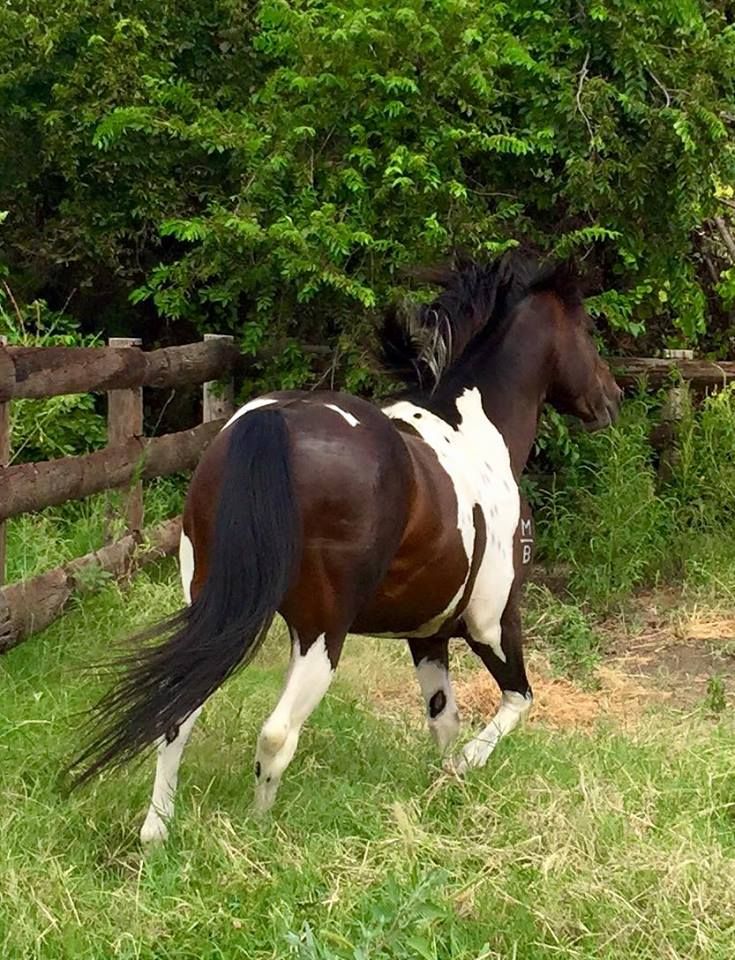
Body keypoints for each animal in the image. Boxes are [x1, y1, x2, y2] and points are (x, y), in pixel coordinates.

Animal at [69, 251, 621, 843]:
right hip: (320, 635)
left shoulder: (427, 636)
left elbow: (443, 719)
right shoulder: (491, 623)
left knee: (177, 714)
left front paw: (446, 789)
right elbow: (516, 701)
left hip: (211, 609)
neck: (477, 438)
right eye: (588, 329)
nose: (613, 398)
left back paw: (157, 833)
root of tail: (271, 421)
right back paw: (259, 830)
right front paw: (466, 770)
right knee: (275, 733)